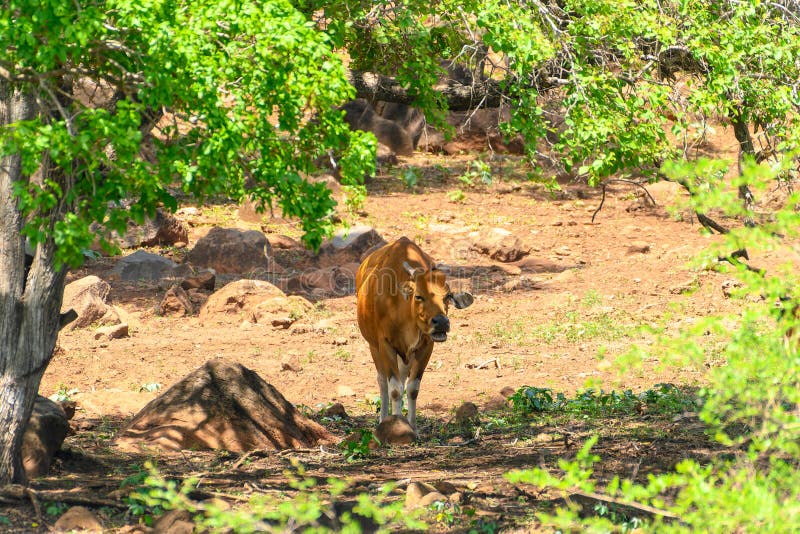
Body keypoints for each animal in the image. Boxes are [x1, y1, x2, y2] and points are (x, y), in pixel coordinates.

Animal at [354, 239, 472, 436]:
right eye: (419, 296)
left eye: (447, 296)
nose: (441, 322)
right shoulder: (385, 344)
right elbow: (394, 389)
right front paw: (396, 427)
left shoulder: (425, 346)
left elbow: (412, 388)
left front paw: (413, 428)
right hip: (373, 345)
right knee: (383, 381)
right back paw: (383, 419)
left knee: (402, 380)